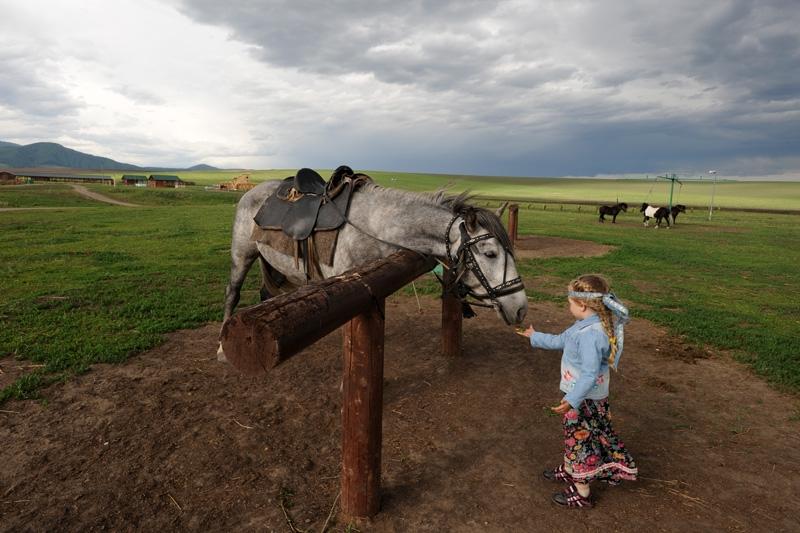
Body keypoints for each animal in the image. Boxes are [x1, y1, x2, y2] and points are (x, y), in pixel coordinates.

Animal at [220, 181, 532, 360]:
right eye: (490, 253)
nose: (520, 308)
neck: (376, 224)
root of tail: (251, 192)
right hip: (241, 255)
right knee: (232, 295)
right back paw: (223, 349)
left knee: (266, 292)